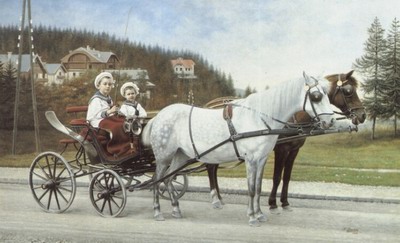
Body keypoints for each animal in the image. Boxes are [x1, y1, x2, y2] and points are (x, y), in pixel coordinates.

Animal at [206, 70, 366, 209]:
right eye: (348, 91)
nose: (362, 115)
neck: (294, 116)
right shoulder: (281, 150)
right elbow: (277, 176)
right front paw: (272, 202)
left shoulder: (294, 150)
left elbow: (287, 176)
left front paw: (285, 202)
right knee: (211, 167)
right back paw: (216, 199)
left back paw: (219, 197)